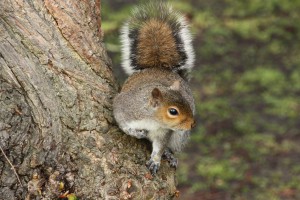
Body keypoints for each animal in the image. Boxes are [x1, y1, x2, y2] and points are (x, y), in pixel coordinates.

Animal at [112, 0, 195, 174]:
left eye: (187, 102)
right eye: (173, 111)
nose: (192, 124)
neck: (152, 119)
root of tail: (158, 67)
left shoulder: (164, 132)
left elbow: (160, 147)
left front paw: (156, 160)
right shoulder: (123, 107)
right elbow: (122, 124)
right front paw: (137, 132)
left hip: (180, 136)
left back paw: (170, 155)